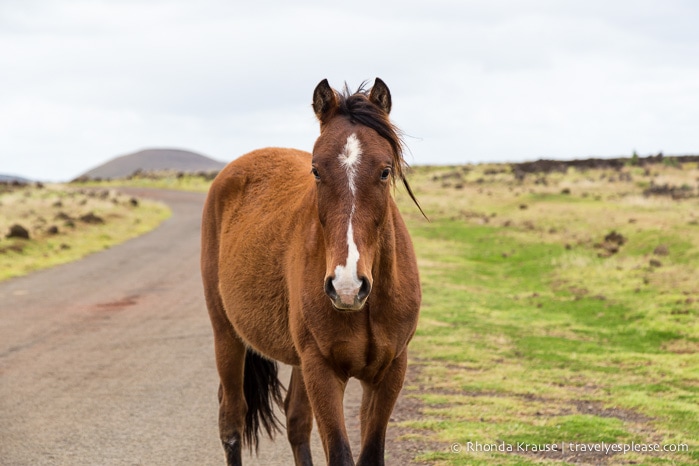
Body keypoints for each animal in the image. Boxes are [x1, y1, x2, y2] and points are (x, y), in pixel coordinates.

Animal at [202, 78, 422, 464]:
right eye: (316, 170)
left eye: (384, 171)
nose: (347, 286)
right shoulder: (322, 371)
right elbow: (340, 454)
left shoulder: (389, 372)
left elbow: (370, 453)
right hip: (227, 336)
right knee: (231, 419)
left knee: (295, 421)